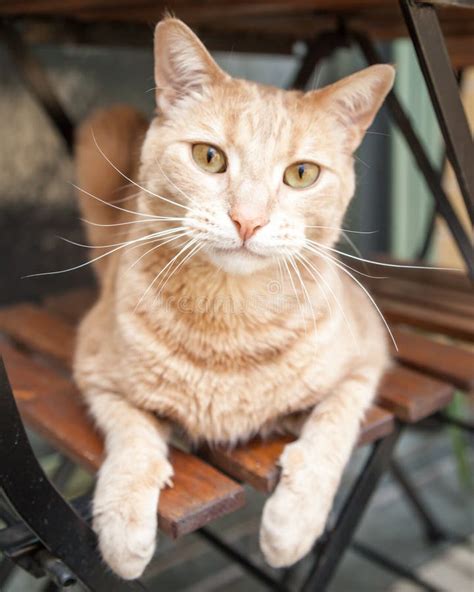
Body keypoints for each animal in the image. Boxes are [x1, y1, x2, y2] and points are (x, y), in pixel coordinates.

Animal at [73, 17, 392, 580]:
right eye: (209, 157)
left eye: (302, 174)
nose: (248, 220)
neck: (231, 319)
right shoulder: (93, 372)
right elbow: (133, 440)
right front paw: (124, 525)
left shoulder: (366, 363)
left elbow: (331, 431)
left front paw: (291, 524)